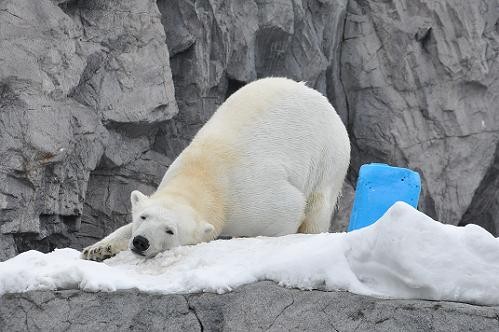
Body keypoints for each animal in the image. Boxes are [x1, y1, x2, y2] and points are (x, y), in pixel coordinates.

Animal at [82, 78, 350, 262]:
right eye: (143, 217)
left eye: (170, 231)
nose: (141, 242)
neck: (203, 175)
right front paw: (98, 248)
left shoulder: (249, 200)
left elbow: (289, 209)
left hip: (328, 156)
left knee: (317, 206)